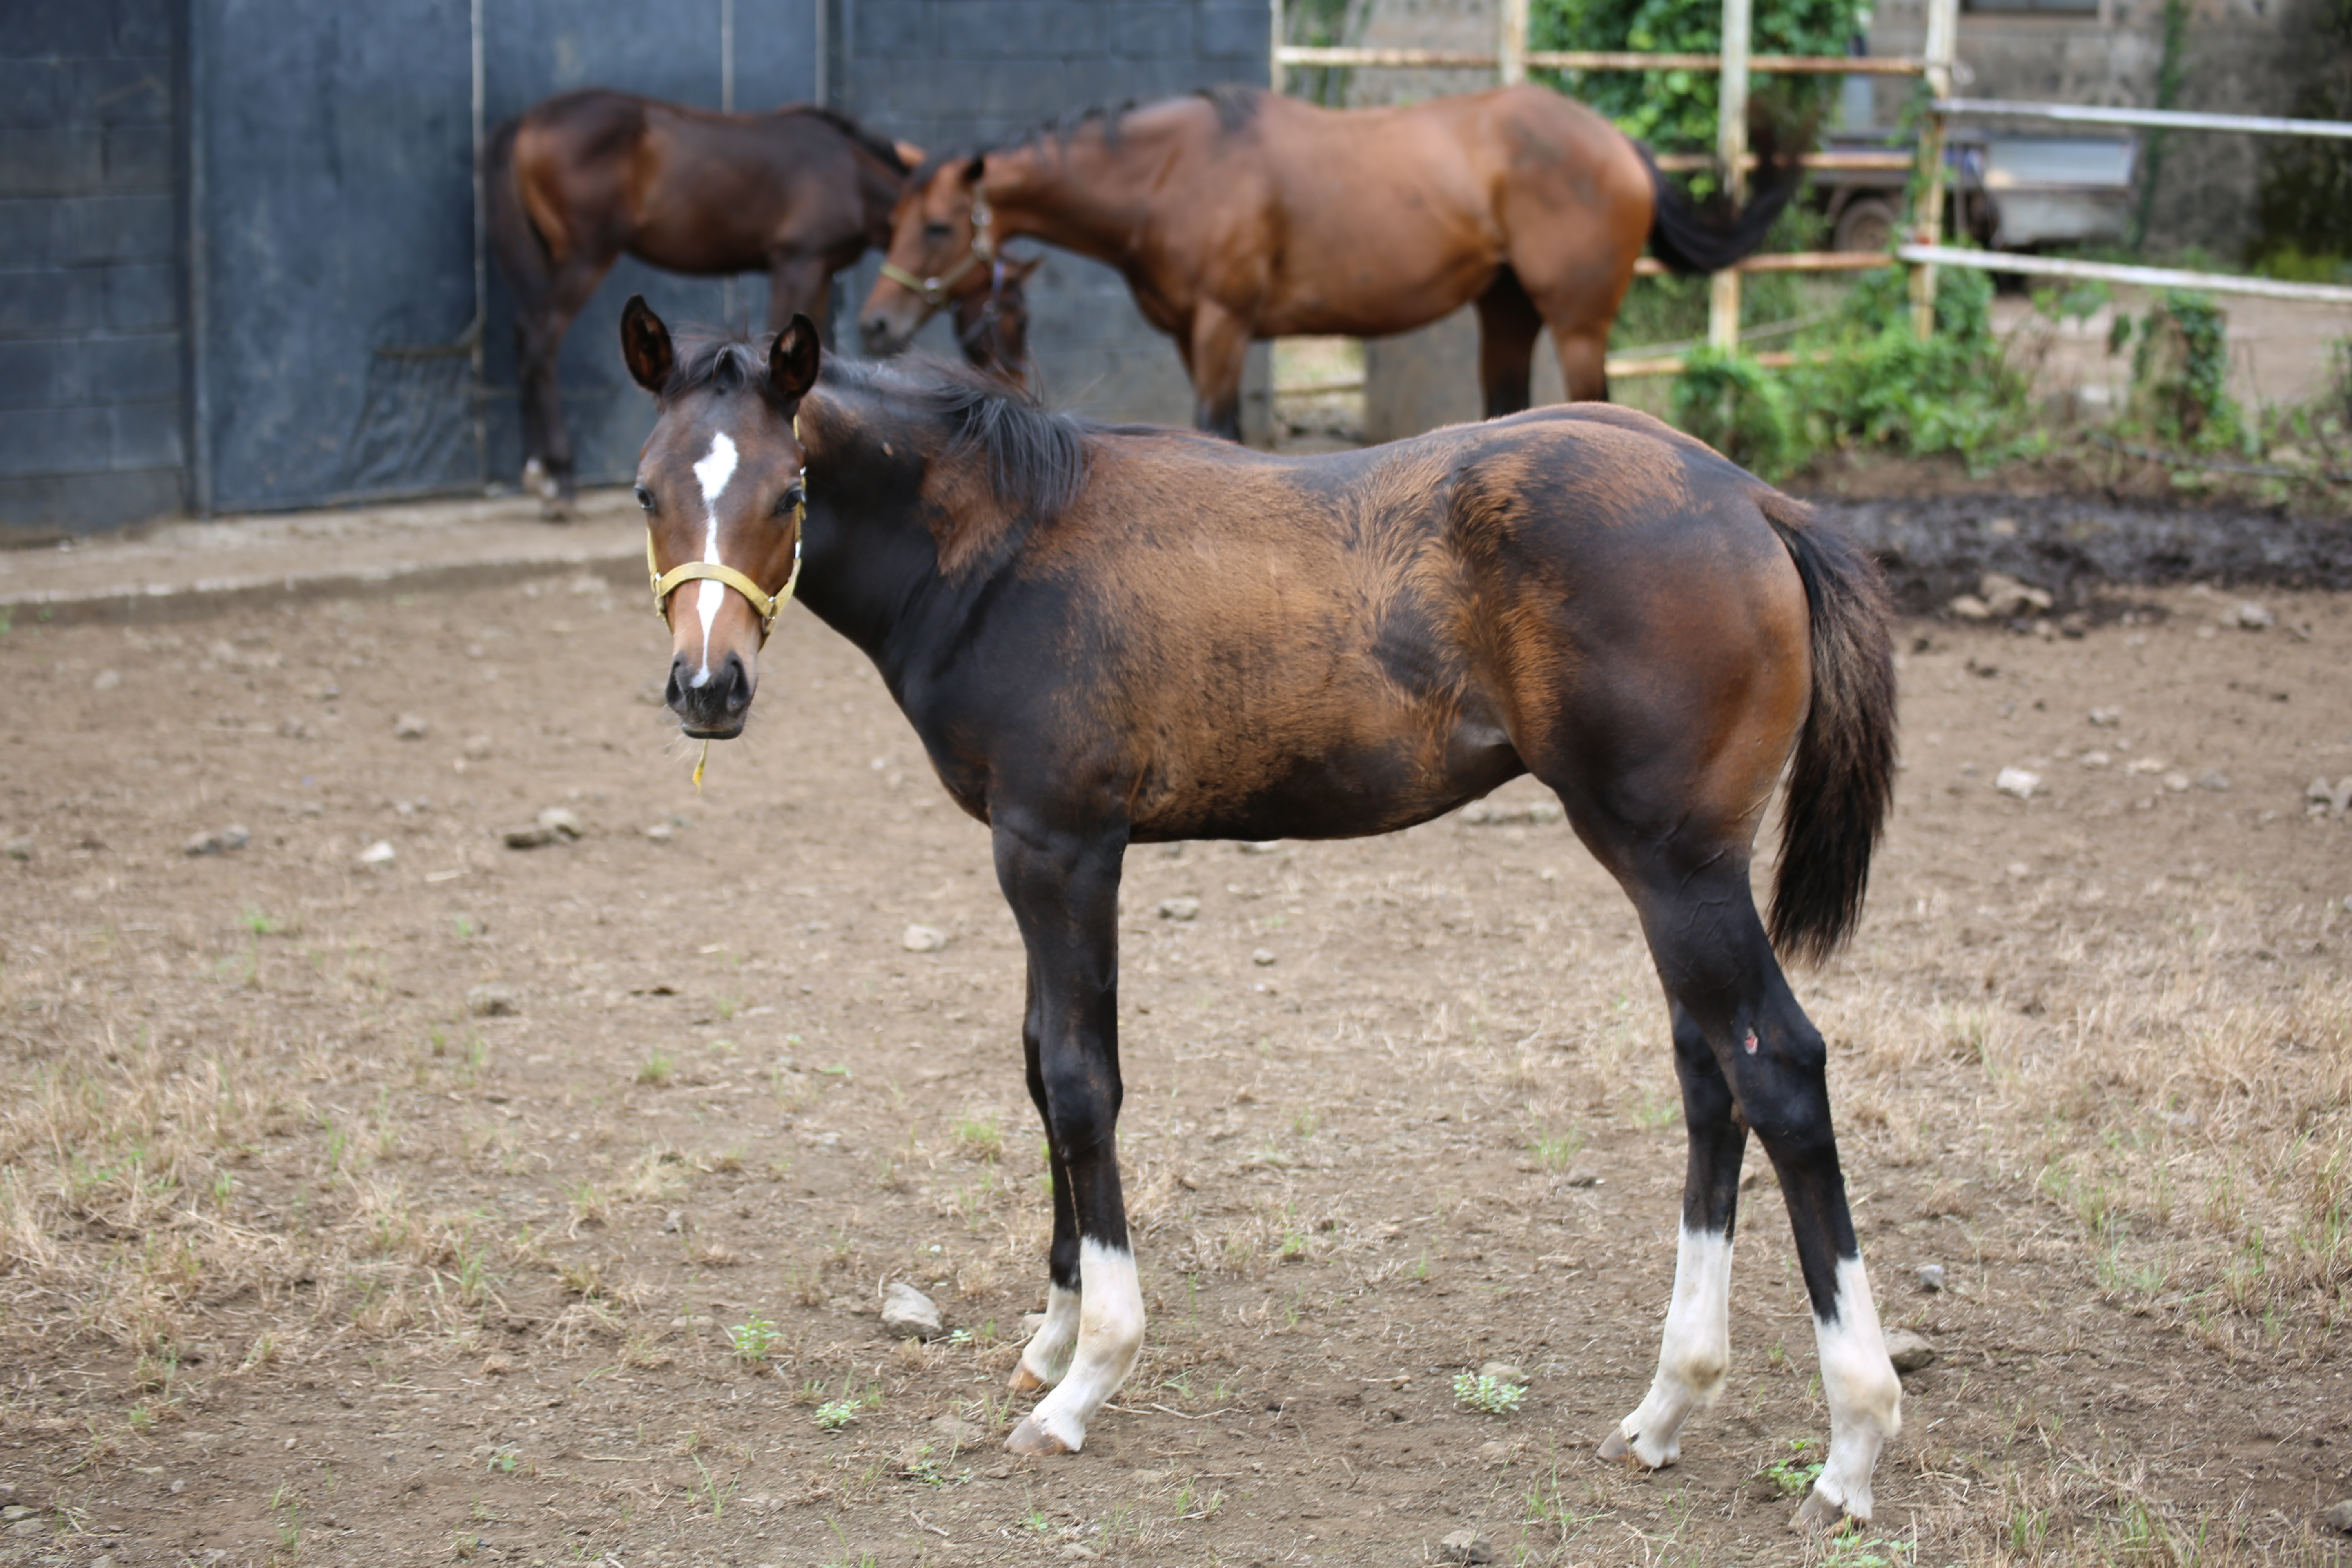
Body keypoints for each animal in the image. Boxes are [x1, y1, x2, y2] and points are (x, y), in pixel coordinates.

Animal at [484, 90, 1030, 510]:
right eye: (1016, 314)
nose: (1016, 383)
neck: (849, 173)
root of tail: (526, 121)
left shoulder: (820, 269)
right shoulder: (798, 262)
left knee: (525, 337)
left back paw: (538, 470)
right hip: (586, 255)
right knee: (541, 339)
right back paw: (558, 477)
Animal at [616, 301, 1900, 1523]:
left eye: (788, 490)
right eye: (645, 492)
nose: (707, 689)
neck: (1004, 545)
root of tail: (1750, 498)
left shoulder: (1060, 849)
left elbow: (1081, 1085)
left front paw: (1088, 1377)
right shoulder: (1026, 851)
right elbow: (1038, 1069)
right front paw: (1048, 1337)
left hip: (1675, 864)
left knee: (1777, 1070)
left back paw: (1850, 1445)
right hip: (1679, 869)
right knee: (1708, 1076)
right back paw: (1665, 1408)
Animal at [856, 85, 1787, 442]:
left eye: (937, 227)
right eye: (890, 221)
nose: (873, 322)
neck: (1170, 174)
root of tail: (1618, 144)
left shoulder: (1223, 328)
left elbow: (1218, 428)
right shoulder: (1193, 335)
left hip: (1577, 318)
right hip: (1506, 311)